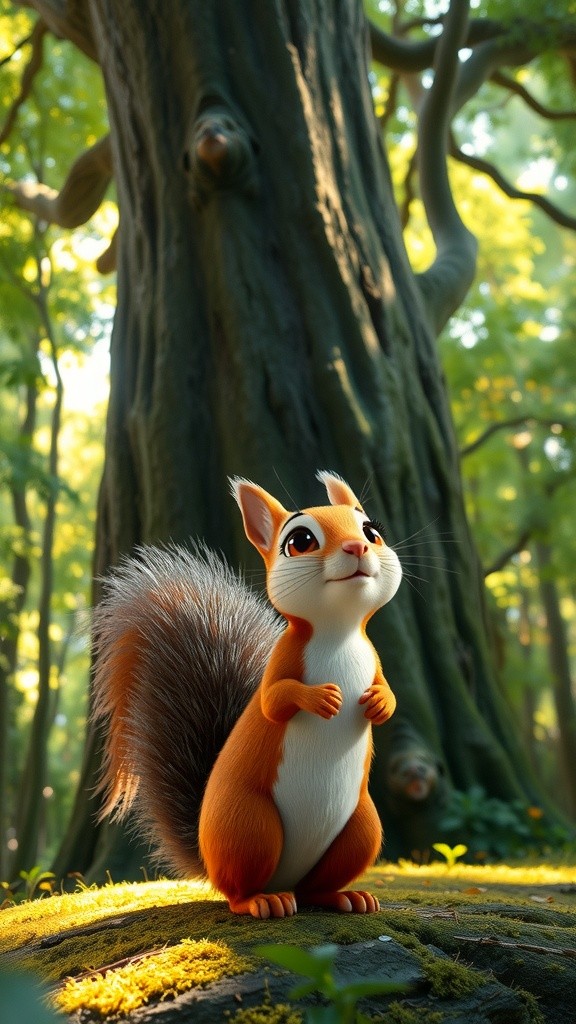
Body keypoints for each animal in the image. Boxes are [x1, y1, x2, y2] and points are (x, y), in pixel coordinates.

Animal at [92, 471, 402, 919]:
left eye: (372, 532)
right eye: (299, 541)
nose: (357, 546)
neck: (338, 631)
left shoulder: (373, 659)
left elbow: (388, 693)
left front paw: (379, 703)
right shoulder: (282, 662)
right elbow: (275, 700)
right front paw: (321, 698)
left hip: (361, 829)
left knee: (316, 888)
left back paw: (346, 896)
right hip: (249, 827)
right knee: (239, 890)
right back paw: (263, 901)